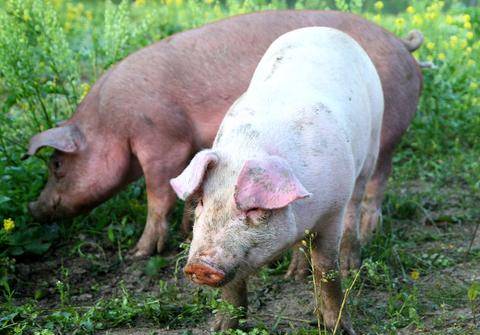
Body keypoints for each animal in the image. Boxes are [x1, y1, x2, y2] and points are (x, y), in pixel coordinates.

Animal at [24, 9, 422, 260]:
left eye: (56, 165)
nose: (33, 209)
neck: (112, 121)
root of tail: (403, 43)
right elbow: (188, 189)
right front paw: (186, 231)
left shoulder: (161, 140)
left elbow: (158, 197)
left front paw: (139, 254)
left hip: (387, 131)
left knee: (379, 178)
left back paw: (369, 233)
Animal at [171, 26, 384, 334]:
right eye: (200, 201)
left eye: (254, 209)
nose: (200, 265)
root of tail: (323, 28)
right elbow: (234, 285)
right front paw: (221, 328)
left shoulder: (332, 211)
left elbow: (327, 272)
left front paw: (339, 328)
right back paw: (293, 275)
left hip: (372, 145)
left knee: (356, 204)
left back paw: (349, 264)